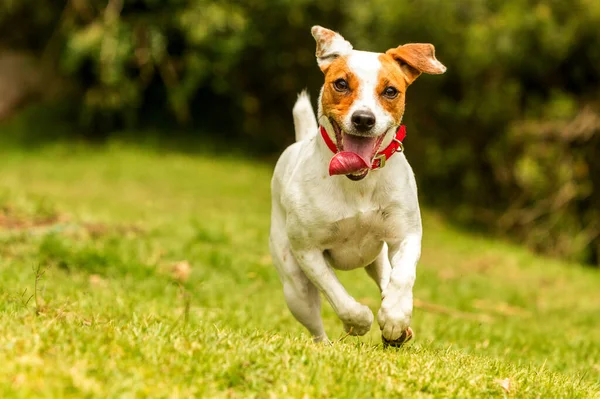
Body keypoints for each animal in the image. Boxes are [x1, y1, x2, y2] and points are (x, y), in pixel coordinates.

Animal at [268, 25, 446, 346]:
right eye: (340, 84)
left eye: (390, 91)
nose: (364, 119)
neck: (358, 184)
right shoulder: (308, 251)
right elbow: (337, 295)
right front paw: (359, 321)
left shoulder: (406, 234)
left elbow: (403, 276)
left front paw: (395, 316)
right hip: (294, 287)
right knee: (315, 325)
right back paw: (326, 345)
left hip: (377, 257)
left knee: (386, 276)